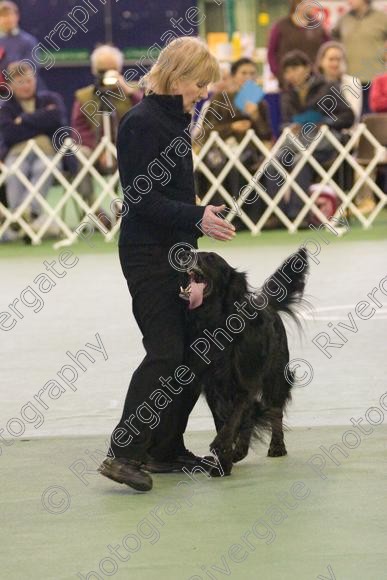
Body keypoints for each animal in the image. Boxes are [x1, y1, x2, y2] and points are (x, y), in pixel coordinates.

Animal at [180, 248, 310, 476]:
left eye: (210, 258)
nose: (184, 253)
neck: (214, 324)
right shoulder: (213, 388)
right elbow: (225, 422)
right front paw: (224, 463)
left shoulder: (244, 384)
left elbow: (233, 421)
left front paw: (221, 448)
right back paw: (239, 451)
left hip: (275, 375)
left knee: (274, 410)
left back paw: (276, 446)